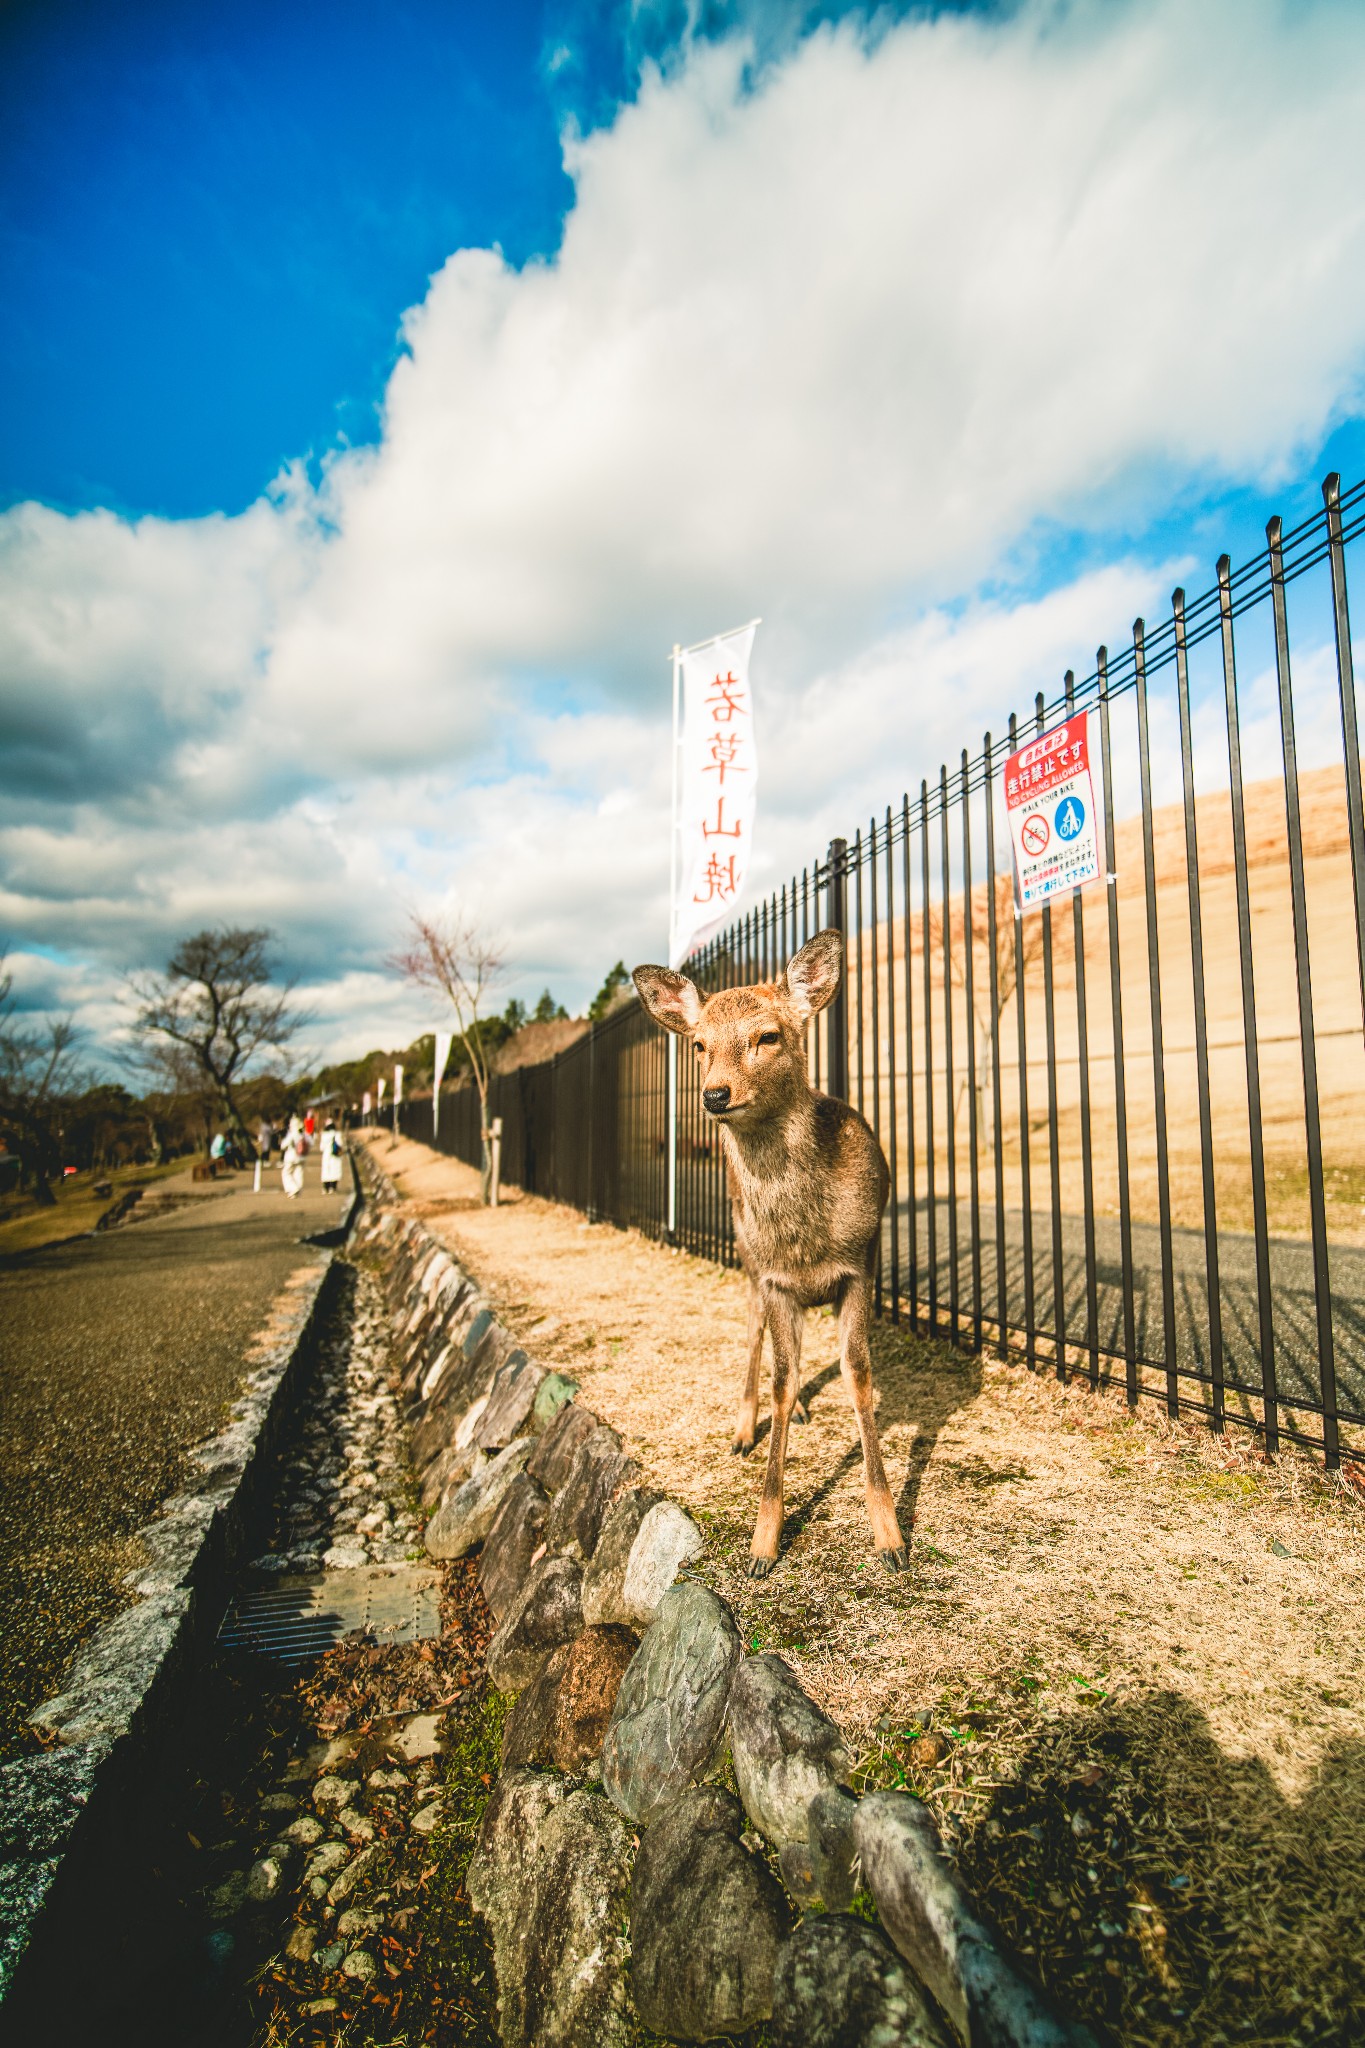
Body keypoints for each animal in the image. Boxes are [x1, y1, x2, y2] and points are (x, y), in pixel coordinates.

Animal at [634, 933, 912, 1581]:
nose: (714, 1094)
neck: (807, 1239)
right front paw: (763, 1545)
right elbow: (782, 1381)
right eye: (699, 1044)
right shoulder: (777, 1280)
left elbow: (859, 1377)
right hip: (747, 1260)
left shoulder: (861, 1265)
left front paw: (890, 1538)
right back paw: (743, 1429)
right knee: (756, 1334)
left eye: (768, 1036)